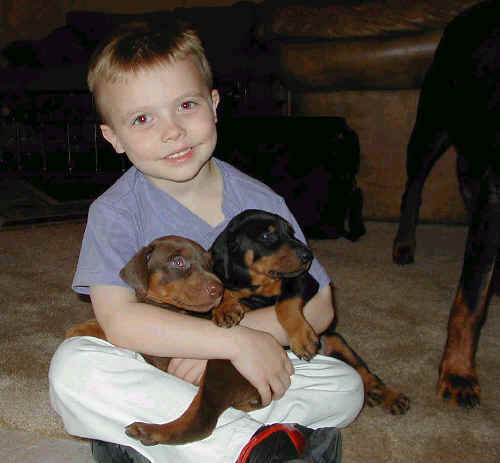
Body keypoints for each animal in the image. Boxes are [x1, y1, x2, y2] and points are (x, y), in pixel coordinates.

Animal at [392, 1, 498, 410]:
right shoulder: (496, 200)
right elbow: (470, 301)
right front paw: (458, 373)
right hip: (432, 126)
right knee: (413, 189)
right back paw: (404, 244)